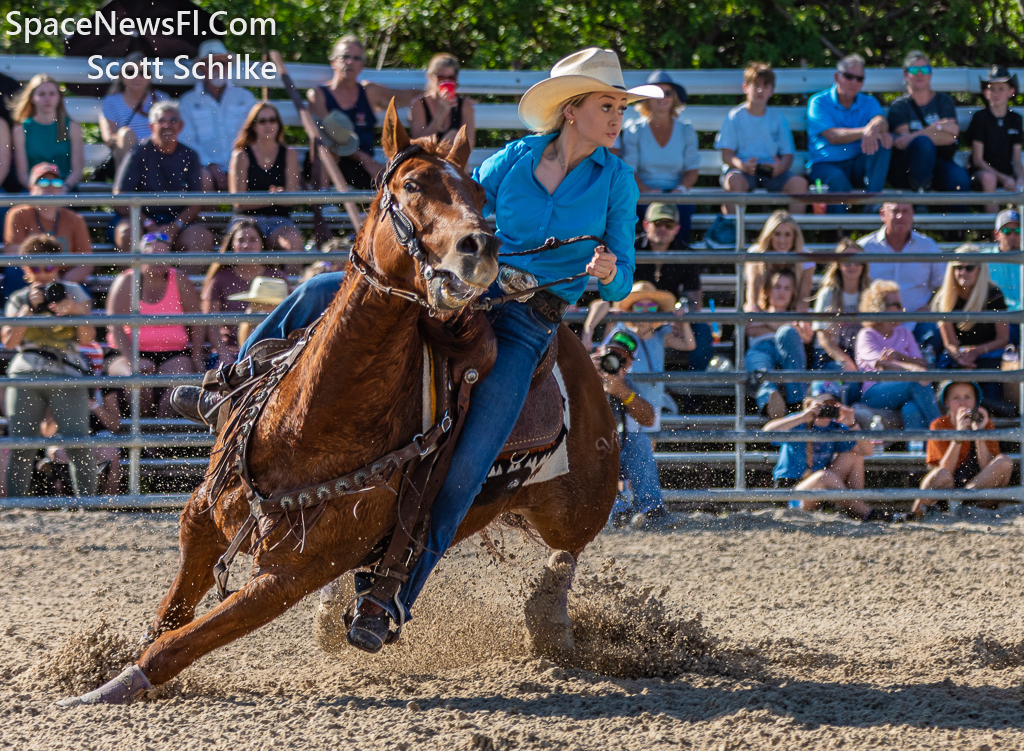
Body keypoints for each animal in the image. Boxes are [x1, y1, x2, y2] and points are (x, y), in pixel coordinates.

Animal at [61, 103, 614, 704]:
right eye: (413, 185)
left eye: (476, 193)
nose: (481, 249)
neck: (311, 422)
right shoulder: (202, 519)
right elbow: (169, 616)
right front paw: (97, 672)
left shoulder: (289, 577)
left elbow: (177, 643)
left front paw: (107, 688)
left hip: (576, 505)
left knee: (565, 552)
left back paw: (546, 619)